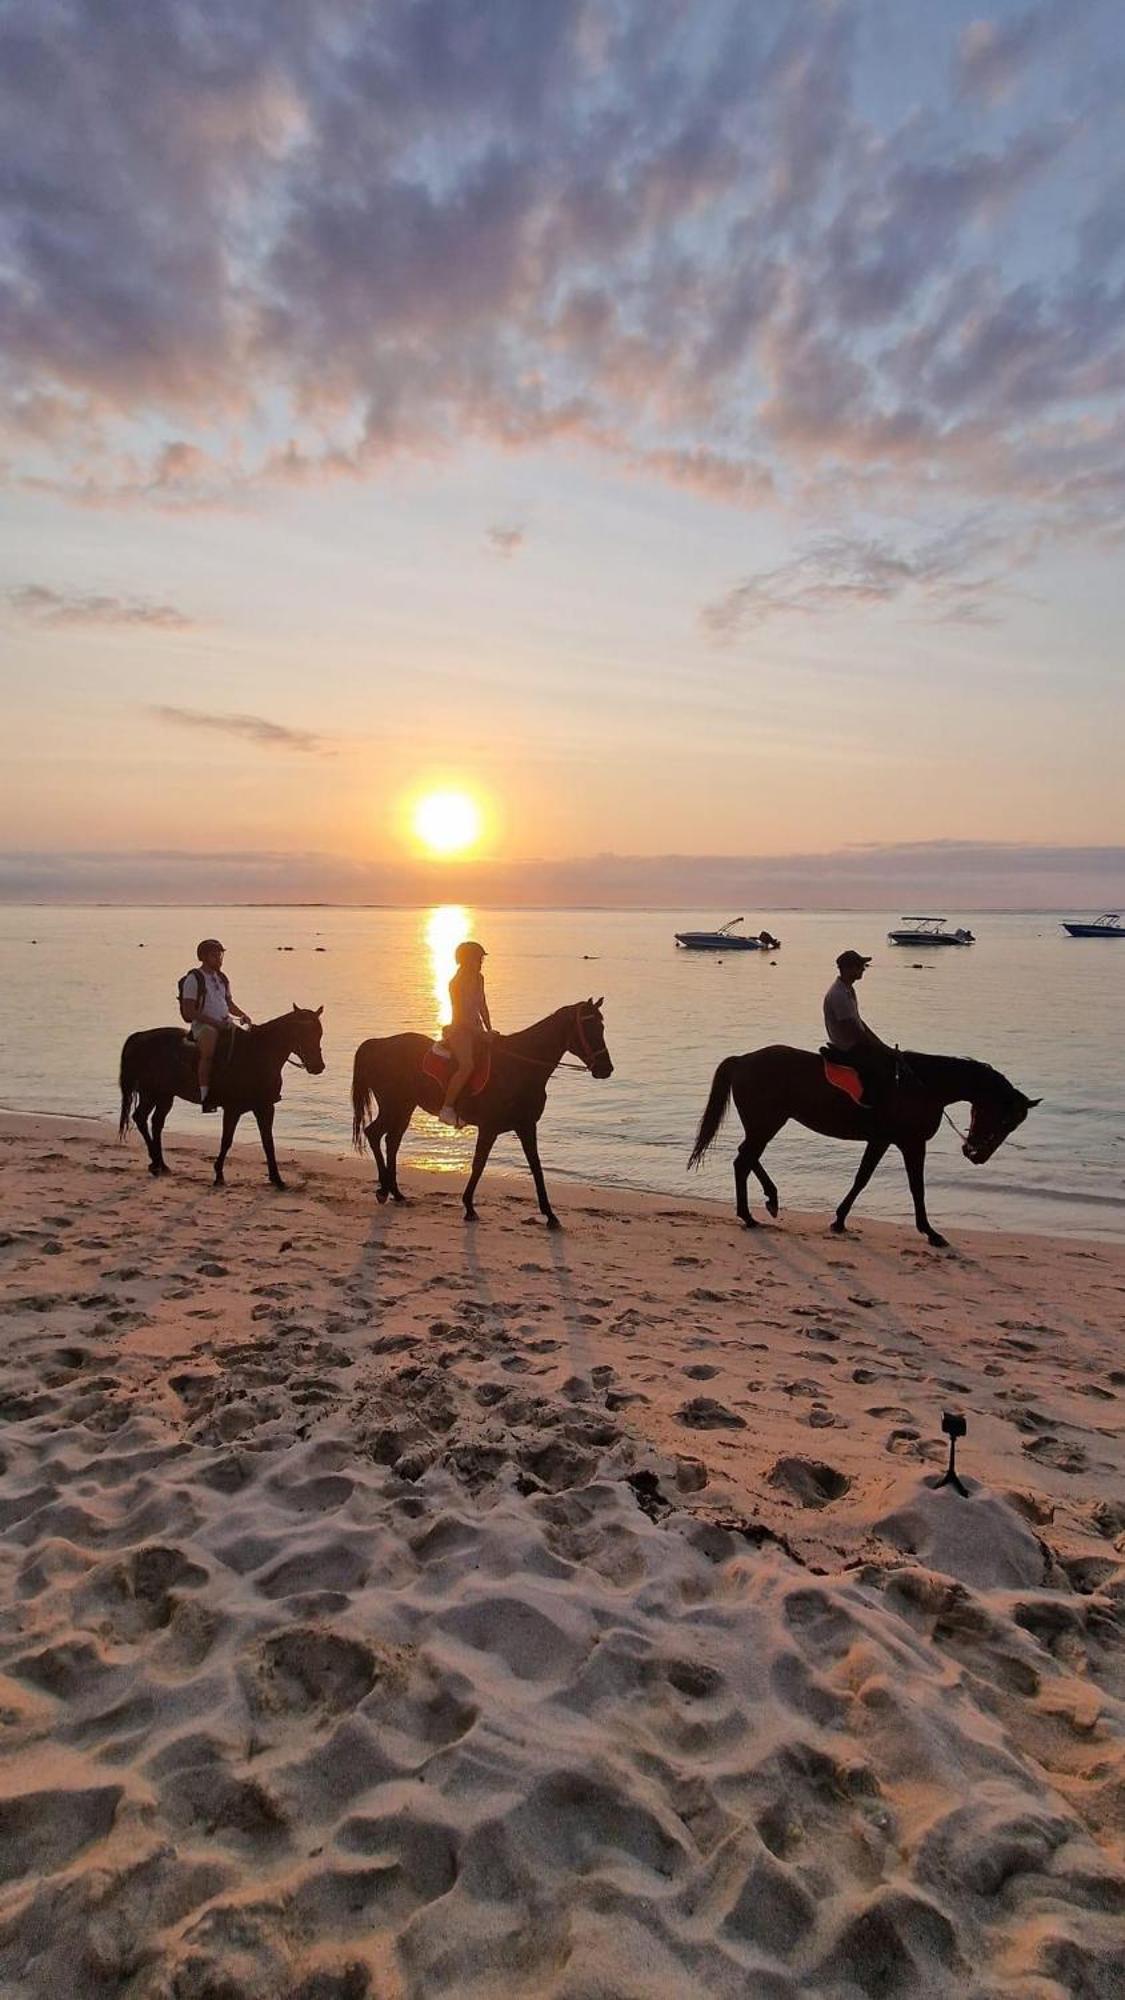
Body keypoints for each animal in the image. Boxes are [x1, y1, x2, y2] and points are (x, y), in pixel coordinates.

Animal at [118, 1000, 324, 1184]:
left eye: (319, 1033)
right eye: (303, 1033)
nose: (318, 1066)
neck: (257, 1054)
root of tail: (139, 1037)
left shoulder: (265, 1107)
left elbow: (268, 1142)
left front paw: (276, 1178)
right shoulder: (232, 1109)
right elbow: (227, 1140)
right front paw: (218, 1174)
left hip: (164, 1095)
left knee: (156, 1123)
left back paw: (161, 1164)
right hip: (150, 1093)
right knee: (140, 1118)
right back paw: (154, 1163)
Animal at [350, 996, 612, 1224]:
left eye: (602, 1027)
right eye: (589, 1027)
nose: (606, 1068)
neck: (520, 1066)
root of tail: (377, 1044)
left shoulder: (526, 1126)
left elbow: (536, 1167)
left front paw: (550, 1215)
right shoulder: (490, 1127)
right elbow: (479, 1164)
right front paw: (468, 1206)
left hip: (404, 1107)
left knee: (391, 1140)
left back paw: (394, 1192)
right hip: (394, 1105)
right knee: (375, 1134)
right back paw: (383, 1190)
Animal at [684, 1048, 1032, 1248]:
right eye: (1006, 1120)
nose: (977, 1154)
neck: (924, 1085)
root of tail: (742, 1060)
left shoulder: (882, 1140)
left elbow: (862, 1178)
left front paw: (839, 1220)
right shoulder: (910, 1142)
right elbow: (915, 1187)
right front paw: (931, 1232)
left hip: (767, 1122)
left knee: (746, 1156)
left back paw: (770, 1199)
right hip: (767, 1122)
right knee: (744, 1160)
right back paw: (750, 1214)